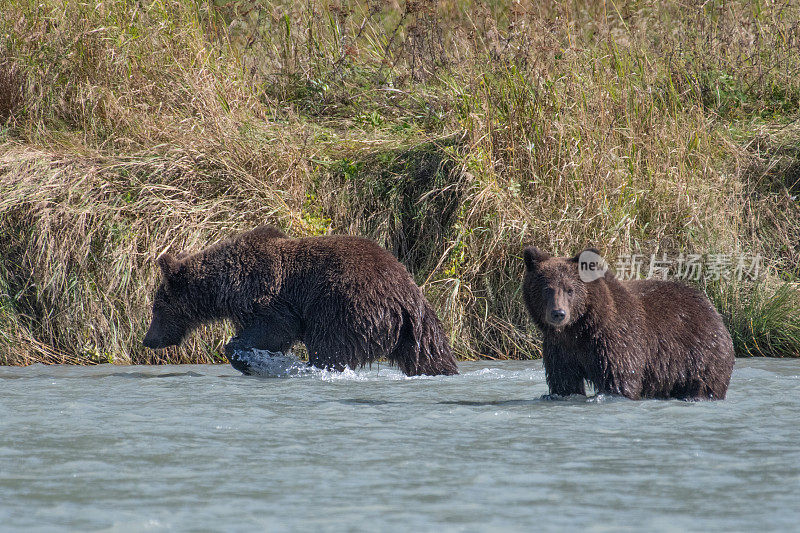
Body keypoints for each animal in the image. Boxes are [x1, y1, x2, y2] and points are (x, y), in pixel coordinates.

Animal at [143, 224, 456, 374]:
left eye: (157, 308)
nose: (148, 339)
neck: (225, 288)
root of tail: (404, 296)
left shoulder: (264, 295)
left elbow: (277, 328)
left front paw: (250, 359)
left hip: (345, 306)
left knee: (329, 349)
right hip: (421, 328)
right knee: (430, 356)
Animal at [520, 246, 736, 400]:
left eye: (570, 290)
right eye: (546, 289)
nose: (558, 313)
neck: (578, 329)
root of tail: (711, 307)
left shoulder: (615, 340)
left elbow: (619, 379)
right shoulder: (560, 350)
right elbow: (564, 383)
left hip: (701, 353)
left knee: (705, 384)